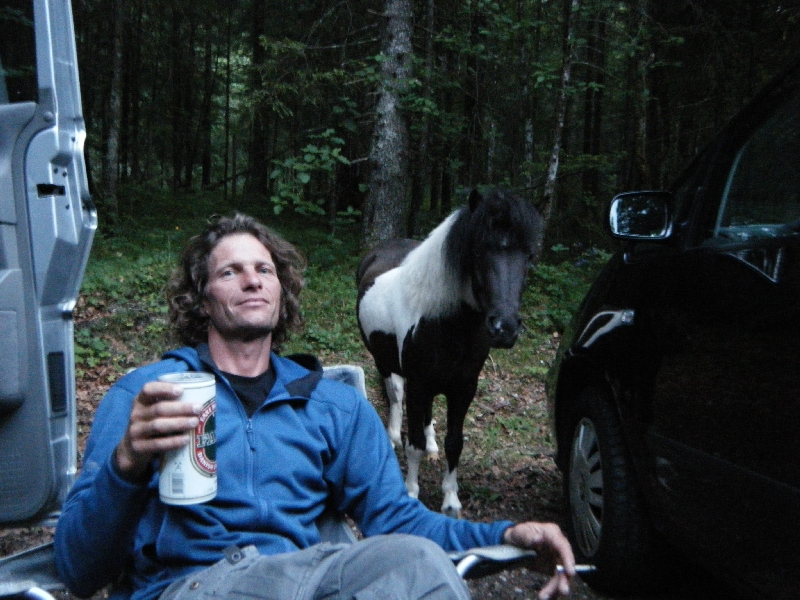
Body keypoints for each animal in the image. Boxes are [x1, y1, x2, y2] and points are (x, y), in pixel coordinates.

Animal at [356, 188, 543, 517]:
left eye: (529, 257)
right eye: (478, 252)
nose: (504, 328)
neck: (445, 324)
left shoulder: (463, 388)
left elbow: (454, 443)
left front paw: (451, 500)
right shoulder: (419, 385)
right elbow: (413, 443)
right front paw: (412, 492)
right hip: (384, 362)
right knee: (395, 395)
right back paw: (392, 438)